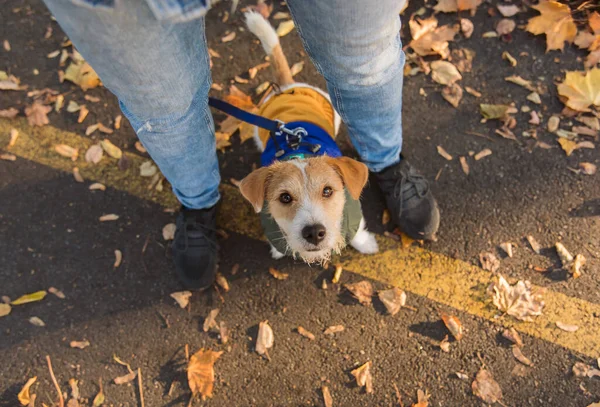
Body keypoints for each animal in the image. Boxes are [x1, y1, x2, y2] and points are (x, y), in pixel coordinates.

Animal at [237, 11, 378, 264]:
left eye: (328, 191)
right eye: (284, 197)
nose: (314, 232)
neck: (298, 151)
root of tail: (286, 87)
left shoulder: (353, 214)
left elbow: (357, 232)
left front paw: (365, 244)